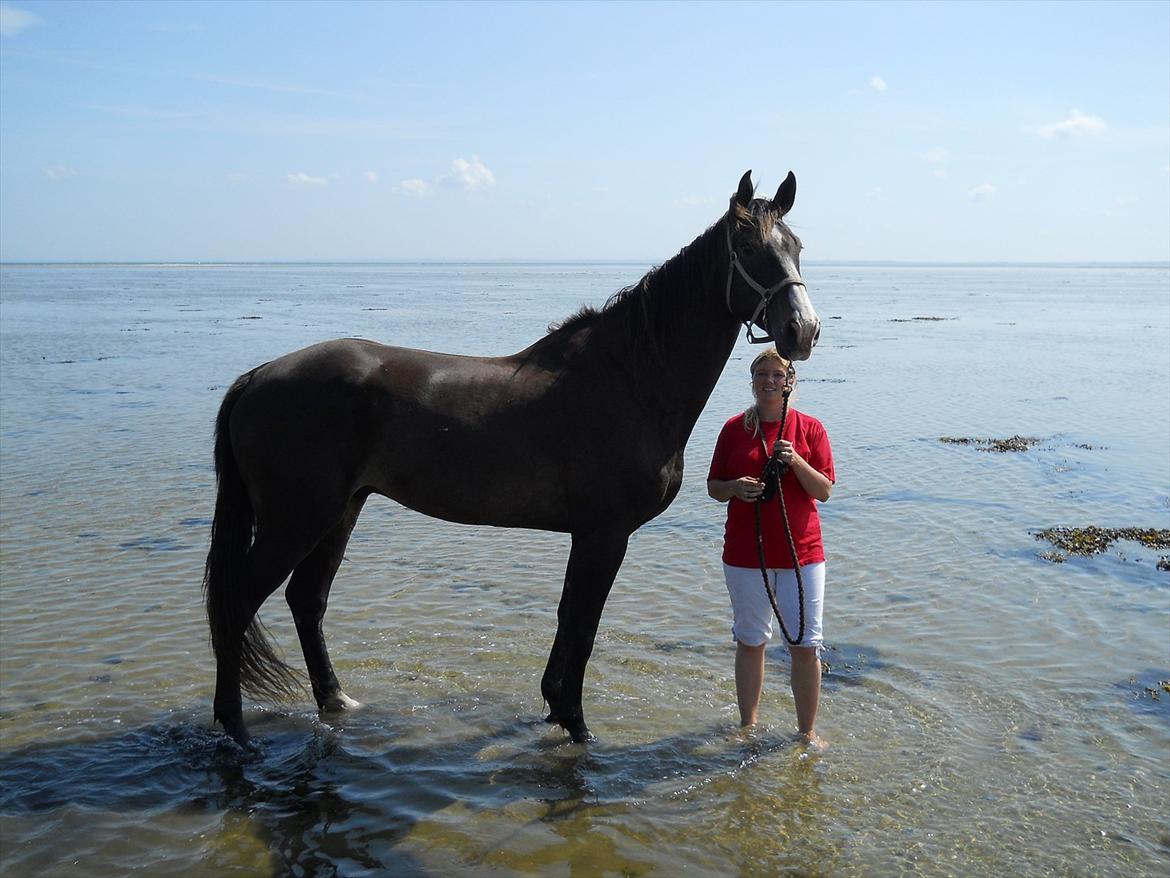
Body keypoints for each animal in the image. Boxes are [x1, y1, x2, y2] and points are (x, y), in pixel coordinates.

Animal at [205, 169, 819, 744]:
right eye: (748, 249)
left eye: (796, 246)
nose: (803, 329)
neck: (628, 379)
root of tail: (258, 376)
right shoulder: (604, 533)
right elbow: (582, 626)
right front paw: (576, 723)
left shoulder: (589, 534)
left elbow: (570, 619)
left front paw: (555, 707)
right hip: (295, 521)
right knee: (237, 603)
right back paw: (234, 725)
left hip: (339, 512)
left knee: (307, 600)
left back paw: (336, 701)